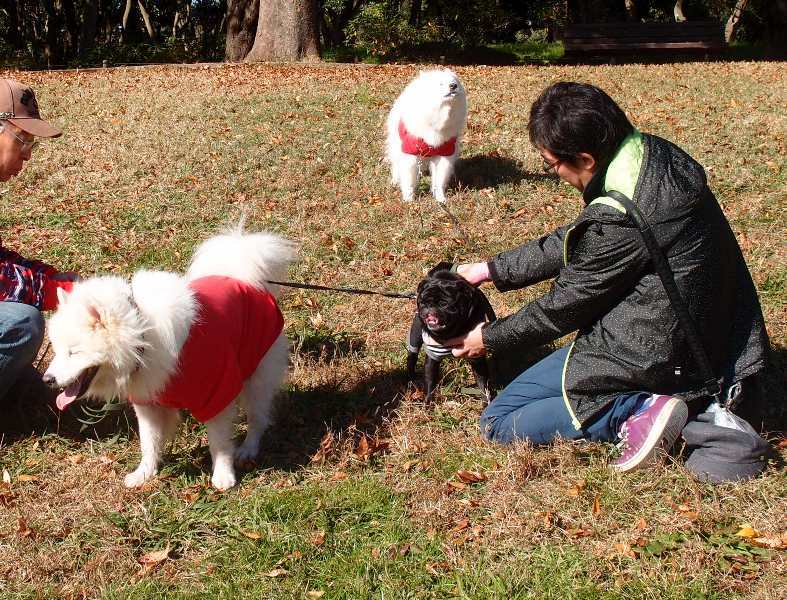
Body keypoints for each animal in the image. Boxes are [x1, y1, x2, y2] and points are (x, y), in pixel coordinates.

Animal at [43, 227, 298, 490]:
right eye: (57, 350)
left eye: (74, 352)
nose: (47, 379)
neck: (143, 336)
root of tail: (243, 278)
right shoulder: (148, 403)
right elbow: (149, 443)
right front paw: (144, 474)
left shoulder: (216, 392)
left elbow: (219, 442)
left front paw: (223, 476)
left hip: (257, 378)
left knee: (258, 418)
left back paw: (248, 449)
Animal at [386, 69, 468, 203]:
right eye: (440, 84)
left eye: (454, 82)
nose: (453, 86)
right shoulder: (410, 152)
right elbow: (409, 179)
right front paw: (409, 199)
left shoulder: (444, 152)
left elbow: (439, 180)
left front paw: (440, 198)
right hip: (396, 145)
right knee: (396, 165)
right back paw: (395, 180)